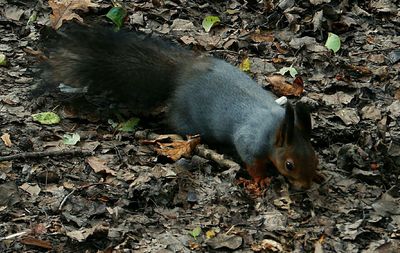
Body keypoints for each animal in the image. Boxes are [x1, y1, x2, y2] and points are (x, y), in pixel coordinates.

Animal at [39, 26, 322, 190]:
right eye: (289, 165)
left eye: (314, 158)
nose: (306, 186)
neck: (275, 127)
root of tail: (181, 74)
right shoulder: (250, 141)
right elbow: (251, 161)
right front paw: (260, 178)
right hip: (187, 118)